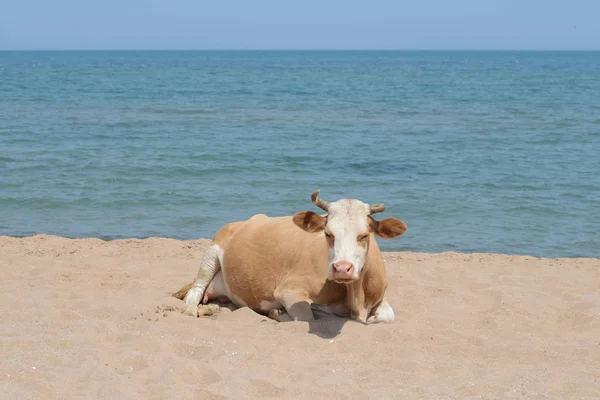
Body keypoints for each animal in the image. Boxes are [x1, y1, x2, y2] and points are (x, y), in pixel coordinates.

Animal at [173, 189, 408, 324]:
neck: (356, 298)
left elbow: (387, 316)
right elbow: (305, 316)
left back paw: (211, 307)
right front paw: (277, 314)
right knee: (194, 295)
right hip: (211, 253)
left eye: (364, 235)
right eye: (328, 234)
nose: (342, 268)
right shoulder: (289, 289)